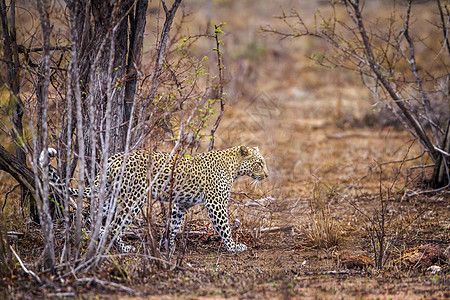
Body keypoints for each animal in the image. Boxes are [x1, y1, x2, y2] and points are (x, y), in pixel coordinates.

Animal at [39, 145, 268, 253]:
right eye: (259, 163)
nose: (266, 175)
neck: (234, 167)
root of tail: (113, 158)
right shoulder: (216, 203)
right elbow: (224, 227)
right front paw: (233, 247)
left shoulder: (181, 204)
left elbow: (174, 225)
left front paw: (168, 245)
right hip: (135, 199)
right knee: (115, 225)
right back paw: (122, 248)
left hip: (112, 196)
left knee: (97, 220)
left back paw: (98, 239)